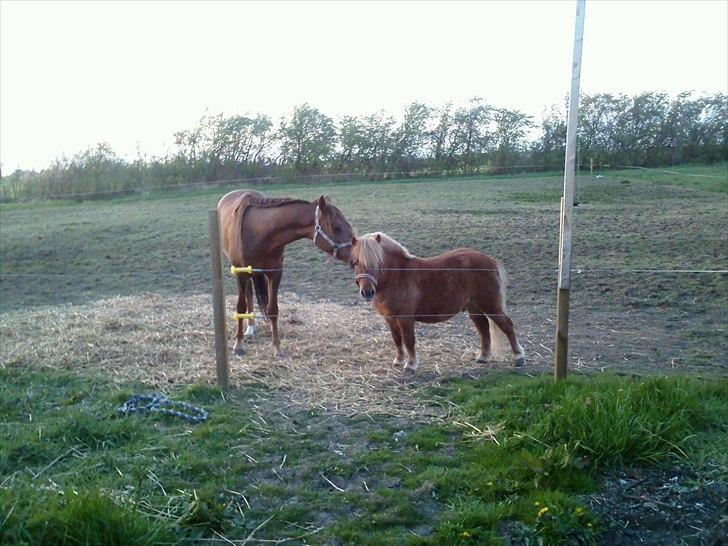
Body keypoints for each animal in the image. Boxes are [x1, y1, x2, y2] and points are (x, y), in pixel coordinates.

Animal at [218, 189, 356, 354]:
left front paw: (277, 347)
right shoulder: (241, 273)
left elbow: (273, 309)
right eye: (336, 228)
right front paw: (238, 345)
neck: (259, 233)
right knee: (248, 295)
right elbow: (240, 306)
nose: (356, 256)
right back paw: (249, 329)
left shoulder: (275, 272)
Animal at [352, 232, 528, 372]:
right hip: (474, 308)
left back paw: (519, 356)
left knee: (507, 325)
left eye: (377, 262)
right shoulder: (390, 318)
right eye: (355, 262)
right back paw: (483, 357)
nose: (367, 292)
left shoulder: (405, 318)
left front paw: (411, 365)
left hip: (490, 304)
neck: (397, 276)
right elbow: (397, 339)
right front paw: (399, 360)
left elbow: (408, 340)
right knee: (484, 329)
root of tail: (489, 259)